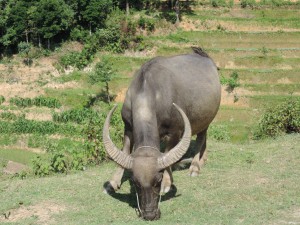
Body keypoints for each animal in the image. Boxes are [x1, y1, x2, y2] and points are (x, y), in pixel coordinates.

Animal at [102, 47, 220, 220]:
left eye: (157, 182)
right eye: (136, 183)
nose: (150, 214)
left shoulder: (176, 132)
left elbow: (168, 154)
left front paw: (167, 182)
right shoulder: (128, 127)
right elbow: (125, 150)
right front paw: (113, 183)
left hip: (206, 118)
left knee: (201, 138)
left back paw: (195, 167)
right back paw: (202, 160)